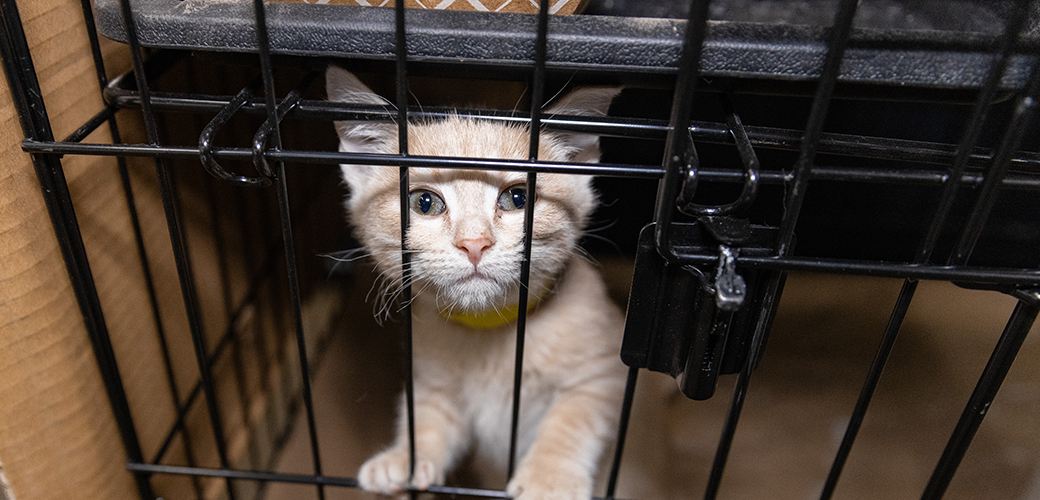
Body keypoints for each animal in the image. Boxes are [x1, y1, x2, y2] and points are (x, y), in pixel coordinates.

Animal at [328, 67, 628, 498]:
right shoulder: (433, 383)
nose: (474, 243)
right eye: (425, 203)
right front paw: (405, 457)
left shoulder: (604, 374)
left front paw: (549, 479)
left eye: (517, 198)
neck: (490, 334)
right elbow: (428, 417)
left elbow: (574, 417)